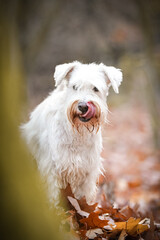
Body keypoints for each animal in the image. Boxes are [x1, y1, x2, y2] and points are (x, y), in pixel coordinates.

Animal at [21, 61, 122, 205]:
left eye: (95, 89)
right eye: (74, 87)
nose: (83, 106)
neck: (78, 133)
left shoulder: (87, 171)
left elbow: (84, 197)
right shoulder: (52, 169)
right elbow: (53, 194)